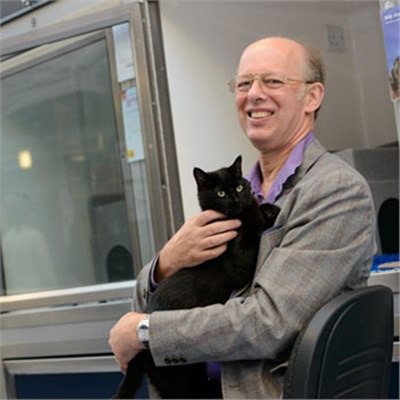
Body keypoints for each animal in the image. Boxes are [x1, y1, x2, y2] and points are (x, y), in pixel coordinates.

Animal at [111, 155, 282, 398]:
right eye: (221, 193)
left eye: (239, 187)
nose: (235, 198)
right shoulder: (241, 262)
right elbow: (252, 232)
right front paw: (264, 216)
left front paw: (269, 208)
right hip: (183, 374)